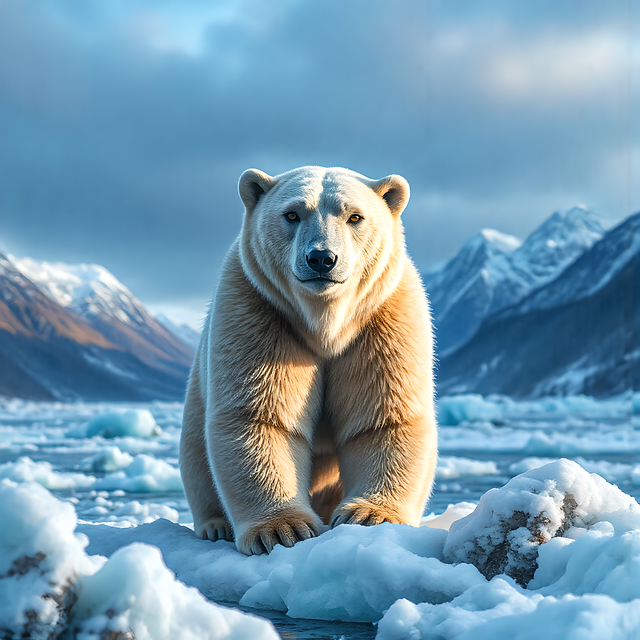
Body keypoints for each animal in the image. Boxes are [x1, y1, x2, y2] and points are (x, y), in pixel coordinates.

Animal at [179, 166, 437, 555]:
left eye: (354, 216)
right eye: (292, 214)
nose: (321, 259)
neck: (323, 322)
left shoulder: (383, 316)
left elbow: (382, 418)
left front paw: (370, 516)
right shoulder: (260, 308)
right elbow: (261, 417)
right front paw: (282, 529)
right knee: (196, 454)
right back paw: (215, 525)